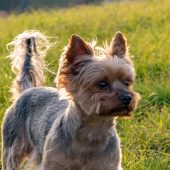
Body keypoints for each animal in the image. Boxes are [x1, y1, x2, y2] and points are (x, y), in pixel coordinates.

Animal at [1, 30, 139, 170]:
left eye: (127, 82)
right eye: (102, 84)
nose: (128, 98)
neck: (93, 131)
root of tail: (28, 89)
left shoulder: (108, 164)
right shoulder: (54, 162)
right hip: (13, 143)